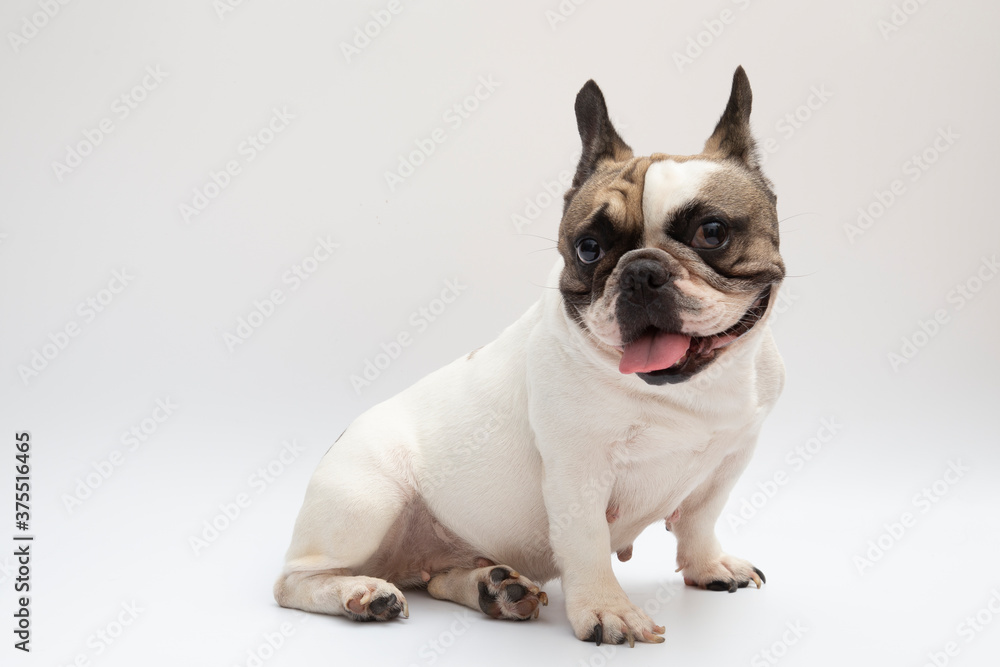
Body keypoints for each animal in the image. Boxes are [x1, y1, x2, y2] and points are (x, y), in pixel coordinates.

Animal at [276, 68, 788, 648]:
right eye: (588, 248)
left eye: (713, 232)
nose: (640, 271)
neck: (688, 390)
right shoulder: (578, 468)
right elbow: (587, 542)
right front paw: (608, 610)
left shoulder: (732, 457)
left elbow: (701, 518)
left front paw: (708, 566)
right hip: (366, 498)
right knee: (294, 581)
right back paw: (361, 593)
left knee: (440, 576)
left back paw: (493, 588)